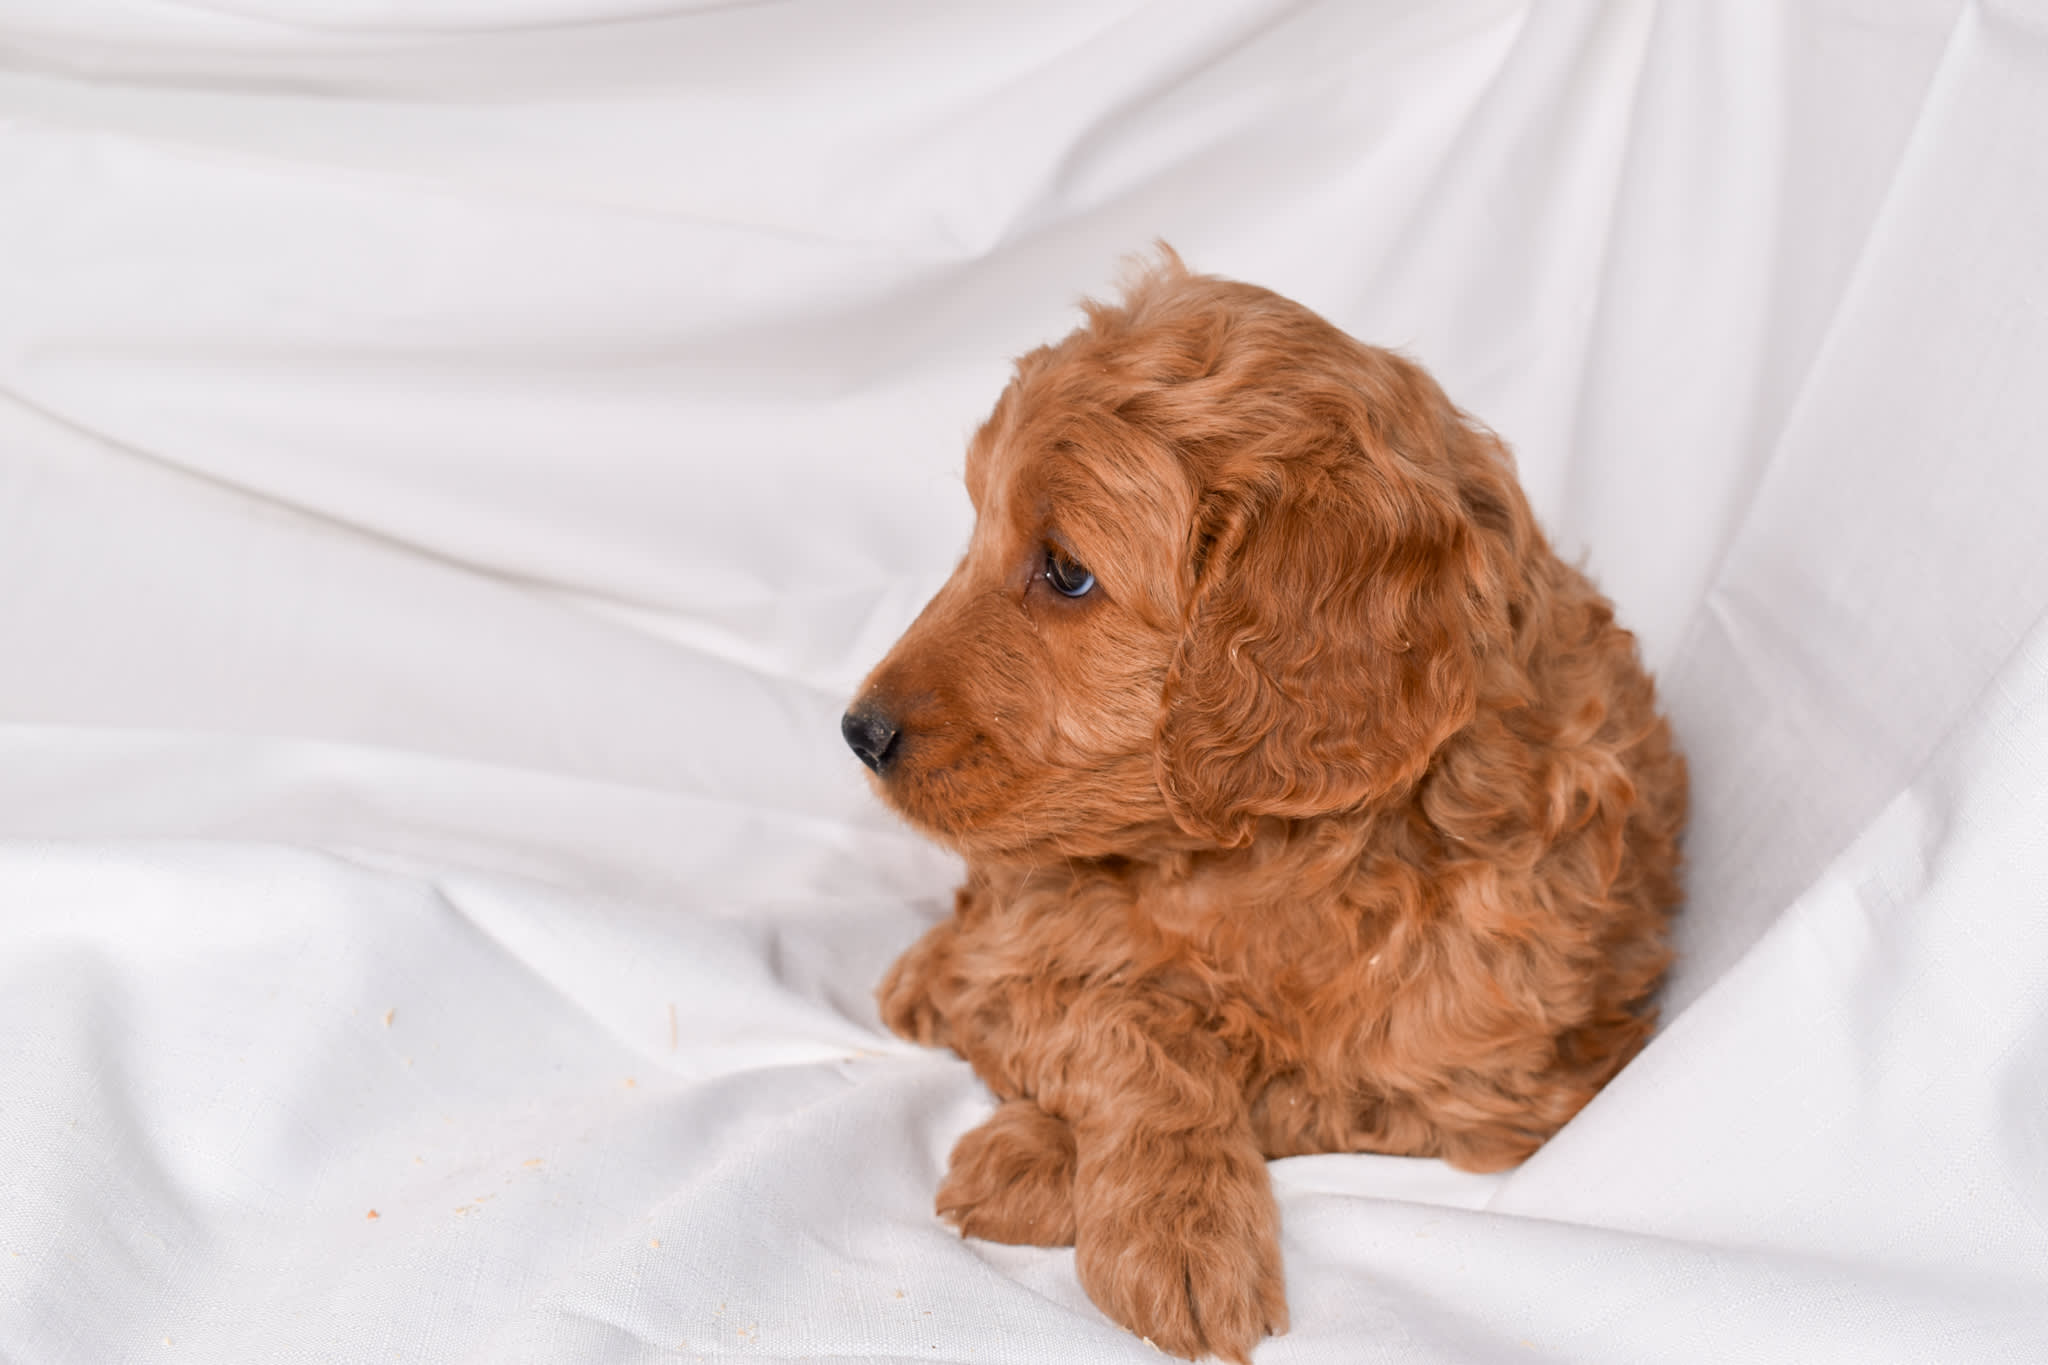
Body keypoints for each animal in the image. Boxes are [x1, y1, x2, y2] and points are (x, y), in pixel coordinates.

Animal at [839, 253, 1687, 1358]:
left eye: (1066, 571)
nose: (858, 731)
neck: (1269, 856)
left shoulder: (1494, 1081)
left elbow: (1269, 1073)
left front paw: (1067, 1176)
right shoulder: (1027, 937)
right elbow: (1112, 1019)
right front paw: (1141, 1204)